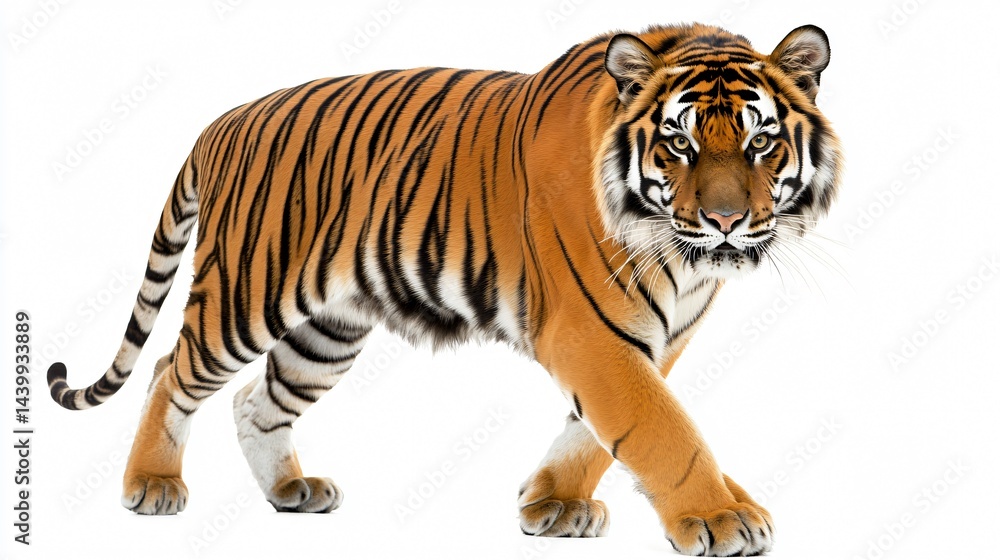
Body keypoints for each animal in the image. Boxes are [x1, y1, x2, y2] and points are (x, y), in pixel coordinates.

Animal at [47, 22, 841, 556]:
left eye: (760, 141)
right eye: (679, 143)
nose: (726, 221)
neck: (681, 259)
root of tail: (221, 122)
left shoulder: (655, 337)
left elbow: (598, 429)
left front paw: (554, 504)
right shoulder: (591, 333)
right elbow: (663, 428)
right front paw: (719, 517)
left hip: (327, 330)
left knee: (255, 400)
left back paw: (290, 493)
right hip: (247, 294)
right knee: (168, 370)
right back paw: (152, 485)